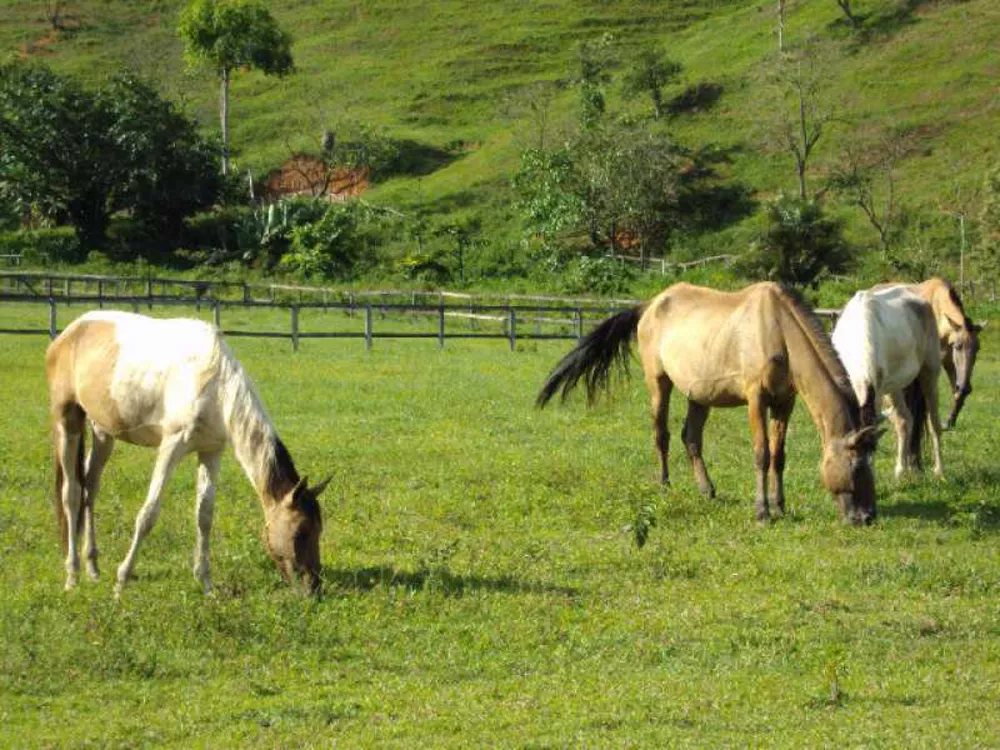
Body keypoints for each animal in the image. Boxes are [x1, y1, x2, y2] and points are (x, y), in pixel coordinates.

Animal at [47, 308, 328, 596]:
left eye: (319, 529)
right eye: (300, 531)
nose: (314, 587)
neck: (215, 385)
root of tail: (68, 333)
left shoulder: (211, 451)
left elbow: (204, 515)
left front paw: (206, 583)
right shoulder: (171, 446)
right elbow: (148, 513)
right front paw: (121, 581)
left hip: (103, 432)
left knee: (90, 489)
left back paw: (92, 568)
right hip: (66, 420)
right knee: (71, 493)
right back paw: (72, 575)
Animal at [536, 280, 880, 524]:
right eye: (856, 465)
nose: (866, 517)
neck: (778, 330)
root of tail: (649, 305)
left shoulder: (785, 402)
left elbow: (779, 456)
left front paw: (780, 506)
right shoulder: (756, 399)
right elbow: (762, 454)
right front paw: (762, 511)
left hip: (698, 396)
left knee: (691, 438)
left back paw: (706, 490)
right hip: (658, 383)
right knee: (662, 434)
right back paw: (664, 484)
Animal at [828, 284, 944, 478]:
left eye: (873, 448)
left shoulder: (877, 392)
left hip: (929, 375)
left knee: (933, 423)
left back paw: (939, 471)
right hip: (895, 389)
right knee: (905, 420)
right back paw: (900, 472)